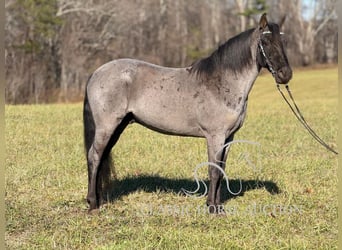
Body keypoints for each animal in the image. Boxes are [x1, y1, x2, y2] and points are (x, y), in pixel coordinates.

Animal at [83, 13, 292, 213]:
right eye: (266, 42)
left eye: (283, 42)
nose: (285, 75)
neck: (221, 82)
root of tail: (96, 73)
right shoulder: (215, 136)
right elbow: (214, 170)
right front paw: (212, 208)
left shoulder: (229, 137)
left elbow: (222, 169)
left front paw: (218, 206)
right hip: (107, 126)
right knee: (94, 156)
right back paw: (93, 203)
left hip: (118, 127)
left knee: (101, 157)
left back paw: (99, 199)